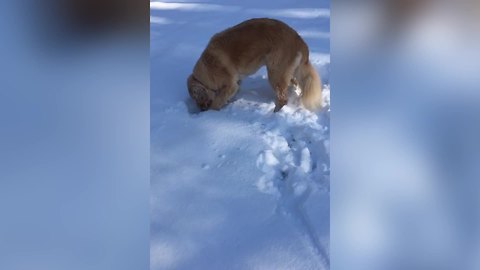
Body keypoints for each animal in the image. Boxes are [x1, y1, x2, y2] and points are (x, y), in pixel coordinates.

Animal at [188, 17, 322, 112]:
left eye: (198, 97)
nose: (201, 110)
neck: (207, 69)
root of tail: (298, 39)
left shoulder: (229, 85)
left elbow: (216, 102)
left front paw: (211, 113)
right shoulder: (235, 83)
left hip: (275, 73)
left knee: (282, 99)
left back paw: (275, 113)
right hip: (287, 71)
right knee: (294, 83)